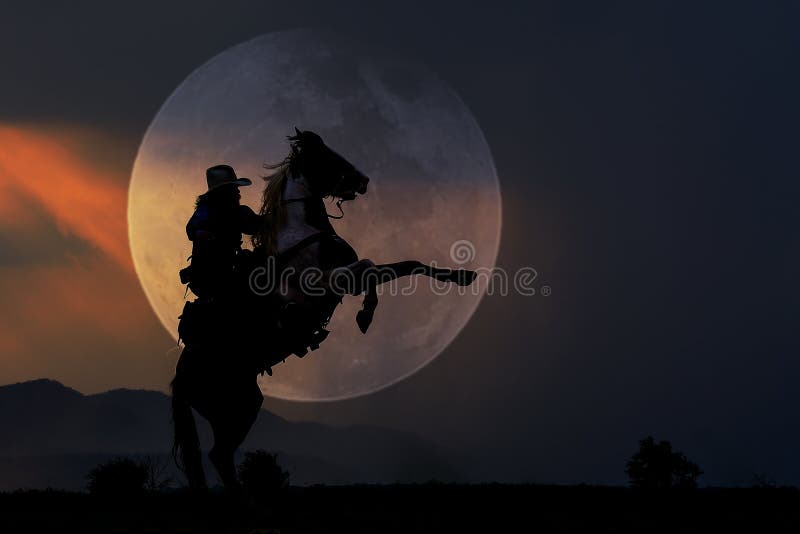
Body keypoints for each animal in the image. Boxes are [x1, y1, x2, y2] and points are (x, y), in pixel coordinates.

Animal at [170, 131, 476, 494]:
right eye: (323, 155)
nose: (362, 180)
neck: (302, 233)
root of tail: (180, 378)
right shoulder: (328, 281)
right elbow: (371, 266)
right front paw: (365, 316)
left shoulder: (346, 276)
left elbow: (404, 265)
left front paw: (461, 276)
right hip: (233, 408)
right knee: (219, 455)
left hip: (243, 403)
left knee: (220, 456)